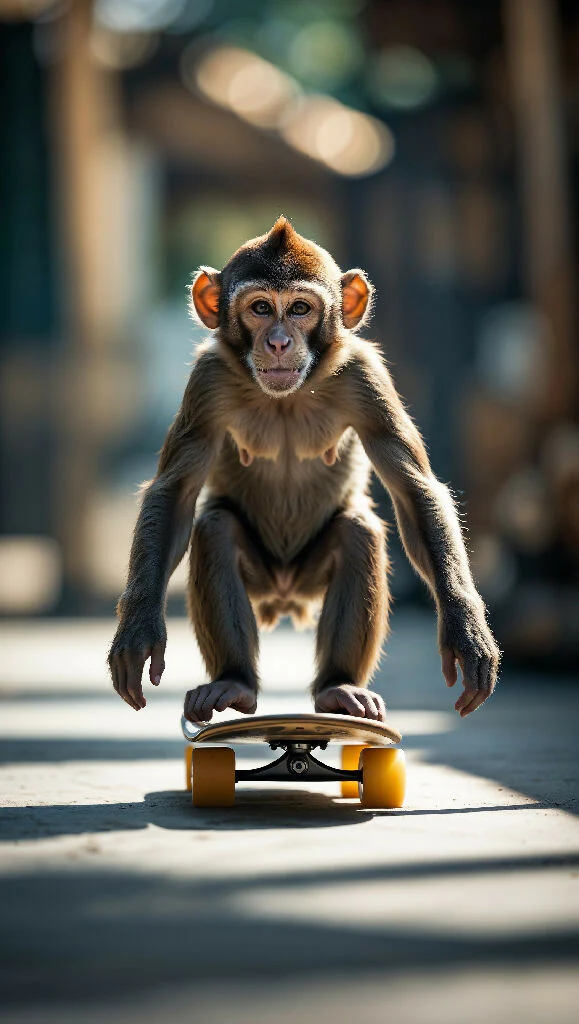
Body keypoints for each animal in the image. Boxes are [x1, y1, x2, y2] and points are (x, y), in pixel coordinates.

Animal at [108, 217, 500, 725]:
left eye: (299, 309)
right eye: (259, 308)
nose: (278, 341)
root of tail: (284, 595)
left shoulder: (365, 378)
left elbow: (415, 490)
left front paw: (465, 626)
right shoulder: (209, 380)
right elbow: (173, 494)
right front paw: (137, 628)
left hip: (308, 576)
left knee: (357, 531)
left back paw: (338, 687)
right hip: (264, 576)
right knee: (215, 528)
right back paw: (234, 682)